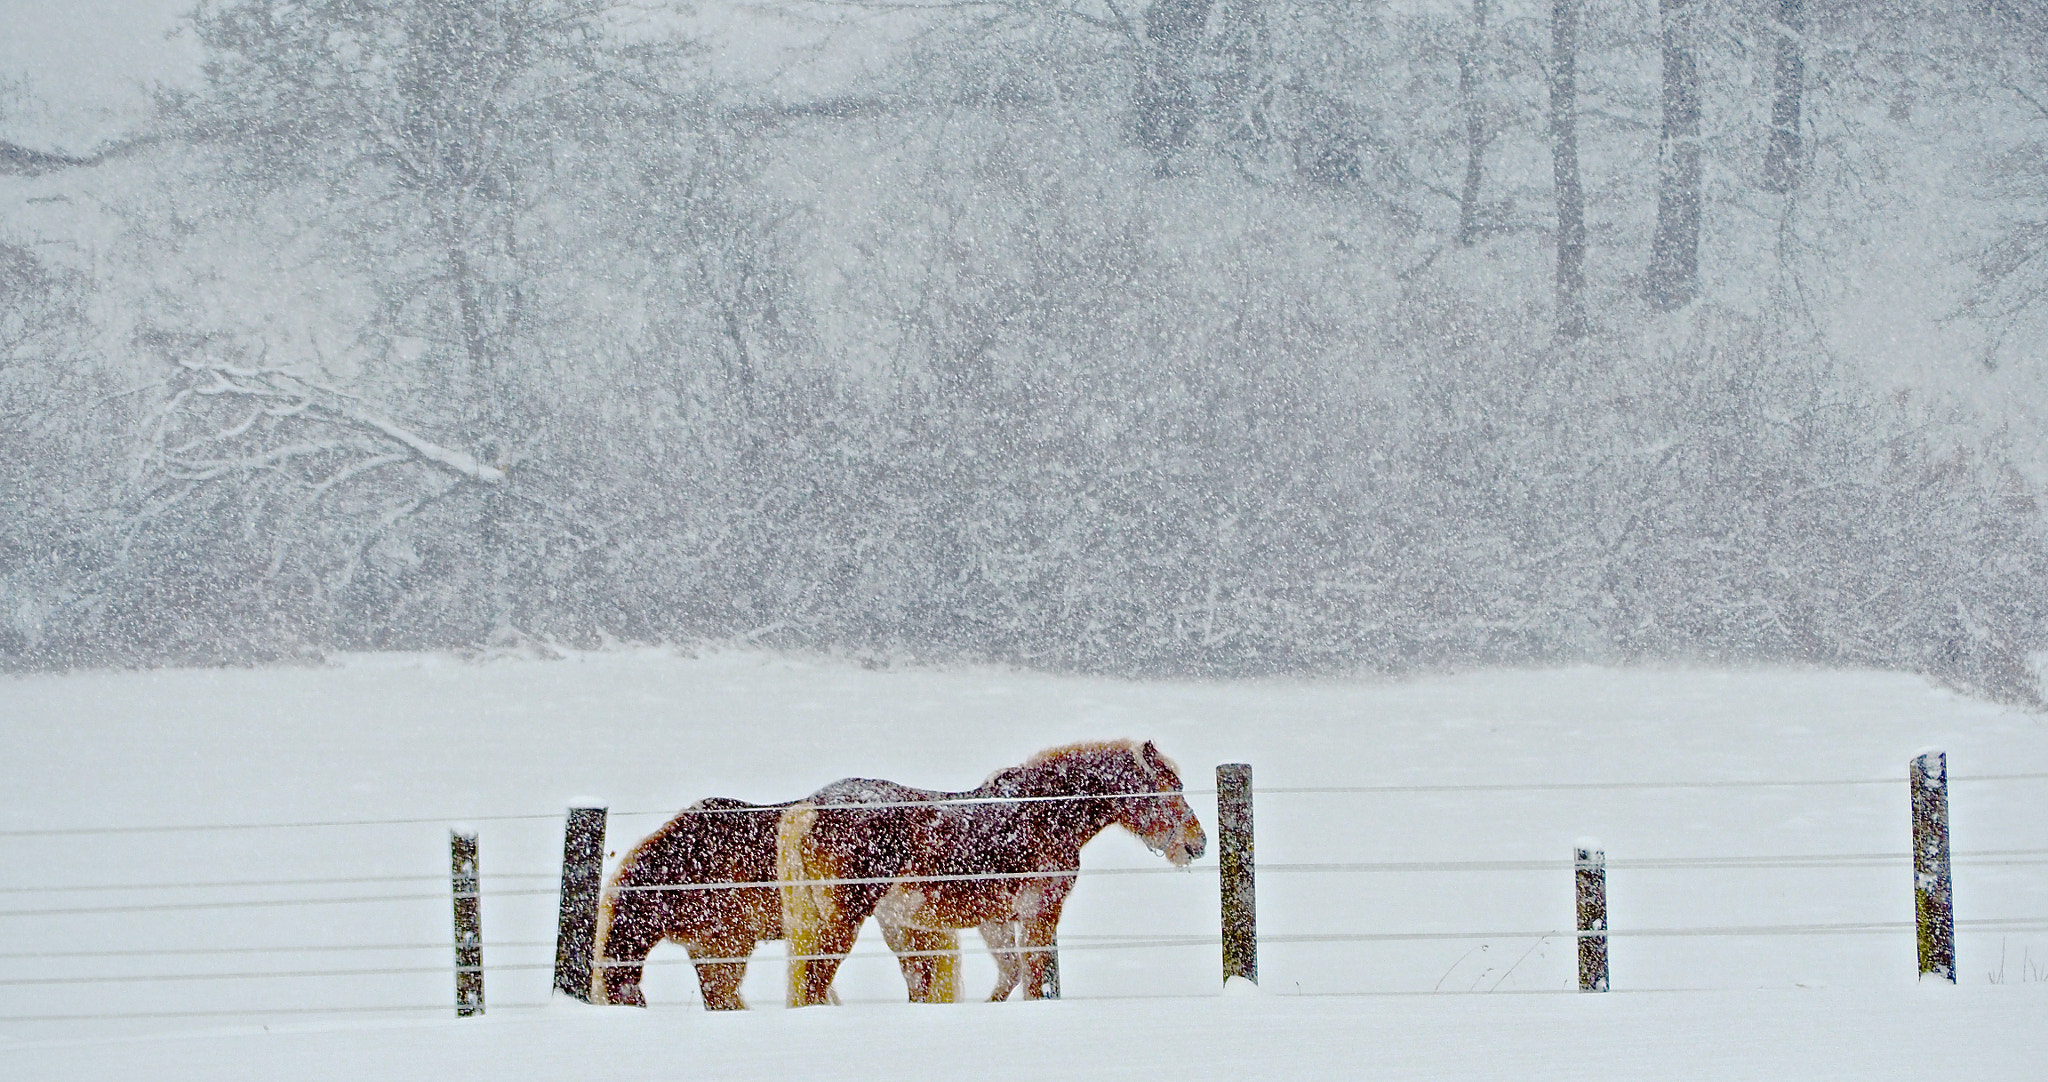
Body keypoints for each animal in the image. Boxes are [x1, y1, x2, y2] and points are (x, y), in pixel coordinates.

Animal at [778, 738, 1207, 1007]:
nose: (1198, 843)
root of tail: (811, 807)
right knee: (816, 982)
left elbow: (1009, 976)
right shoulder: (1039, 914)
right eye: (1170, 787)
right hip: (844, 922)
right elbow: (1033, 979)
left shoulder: (995, 920)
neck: (1044, 812)